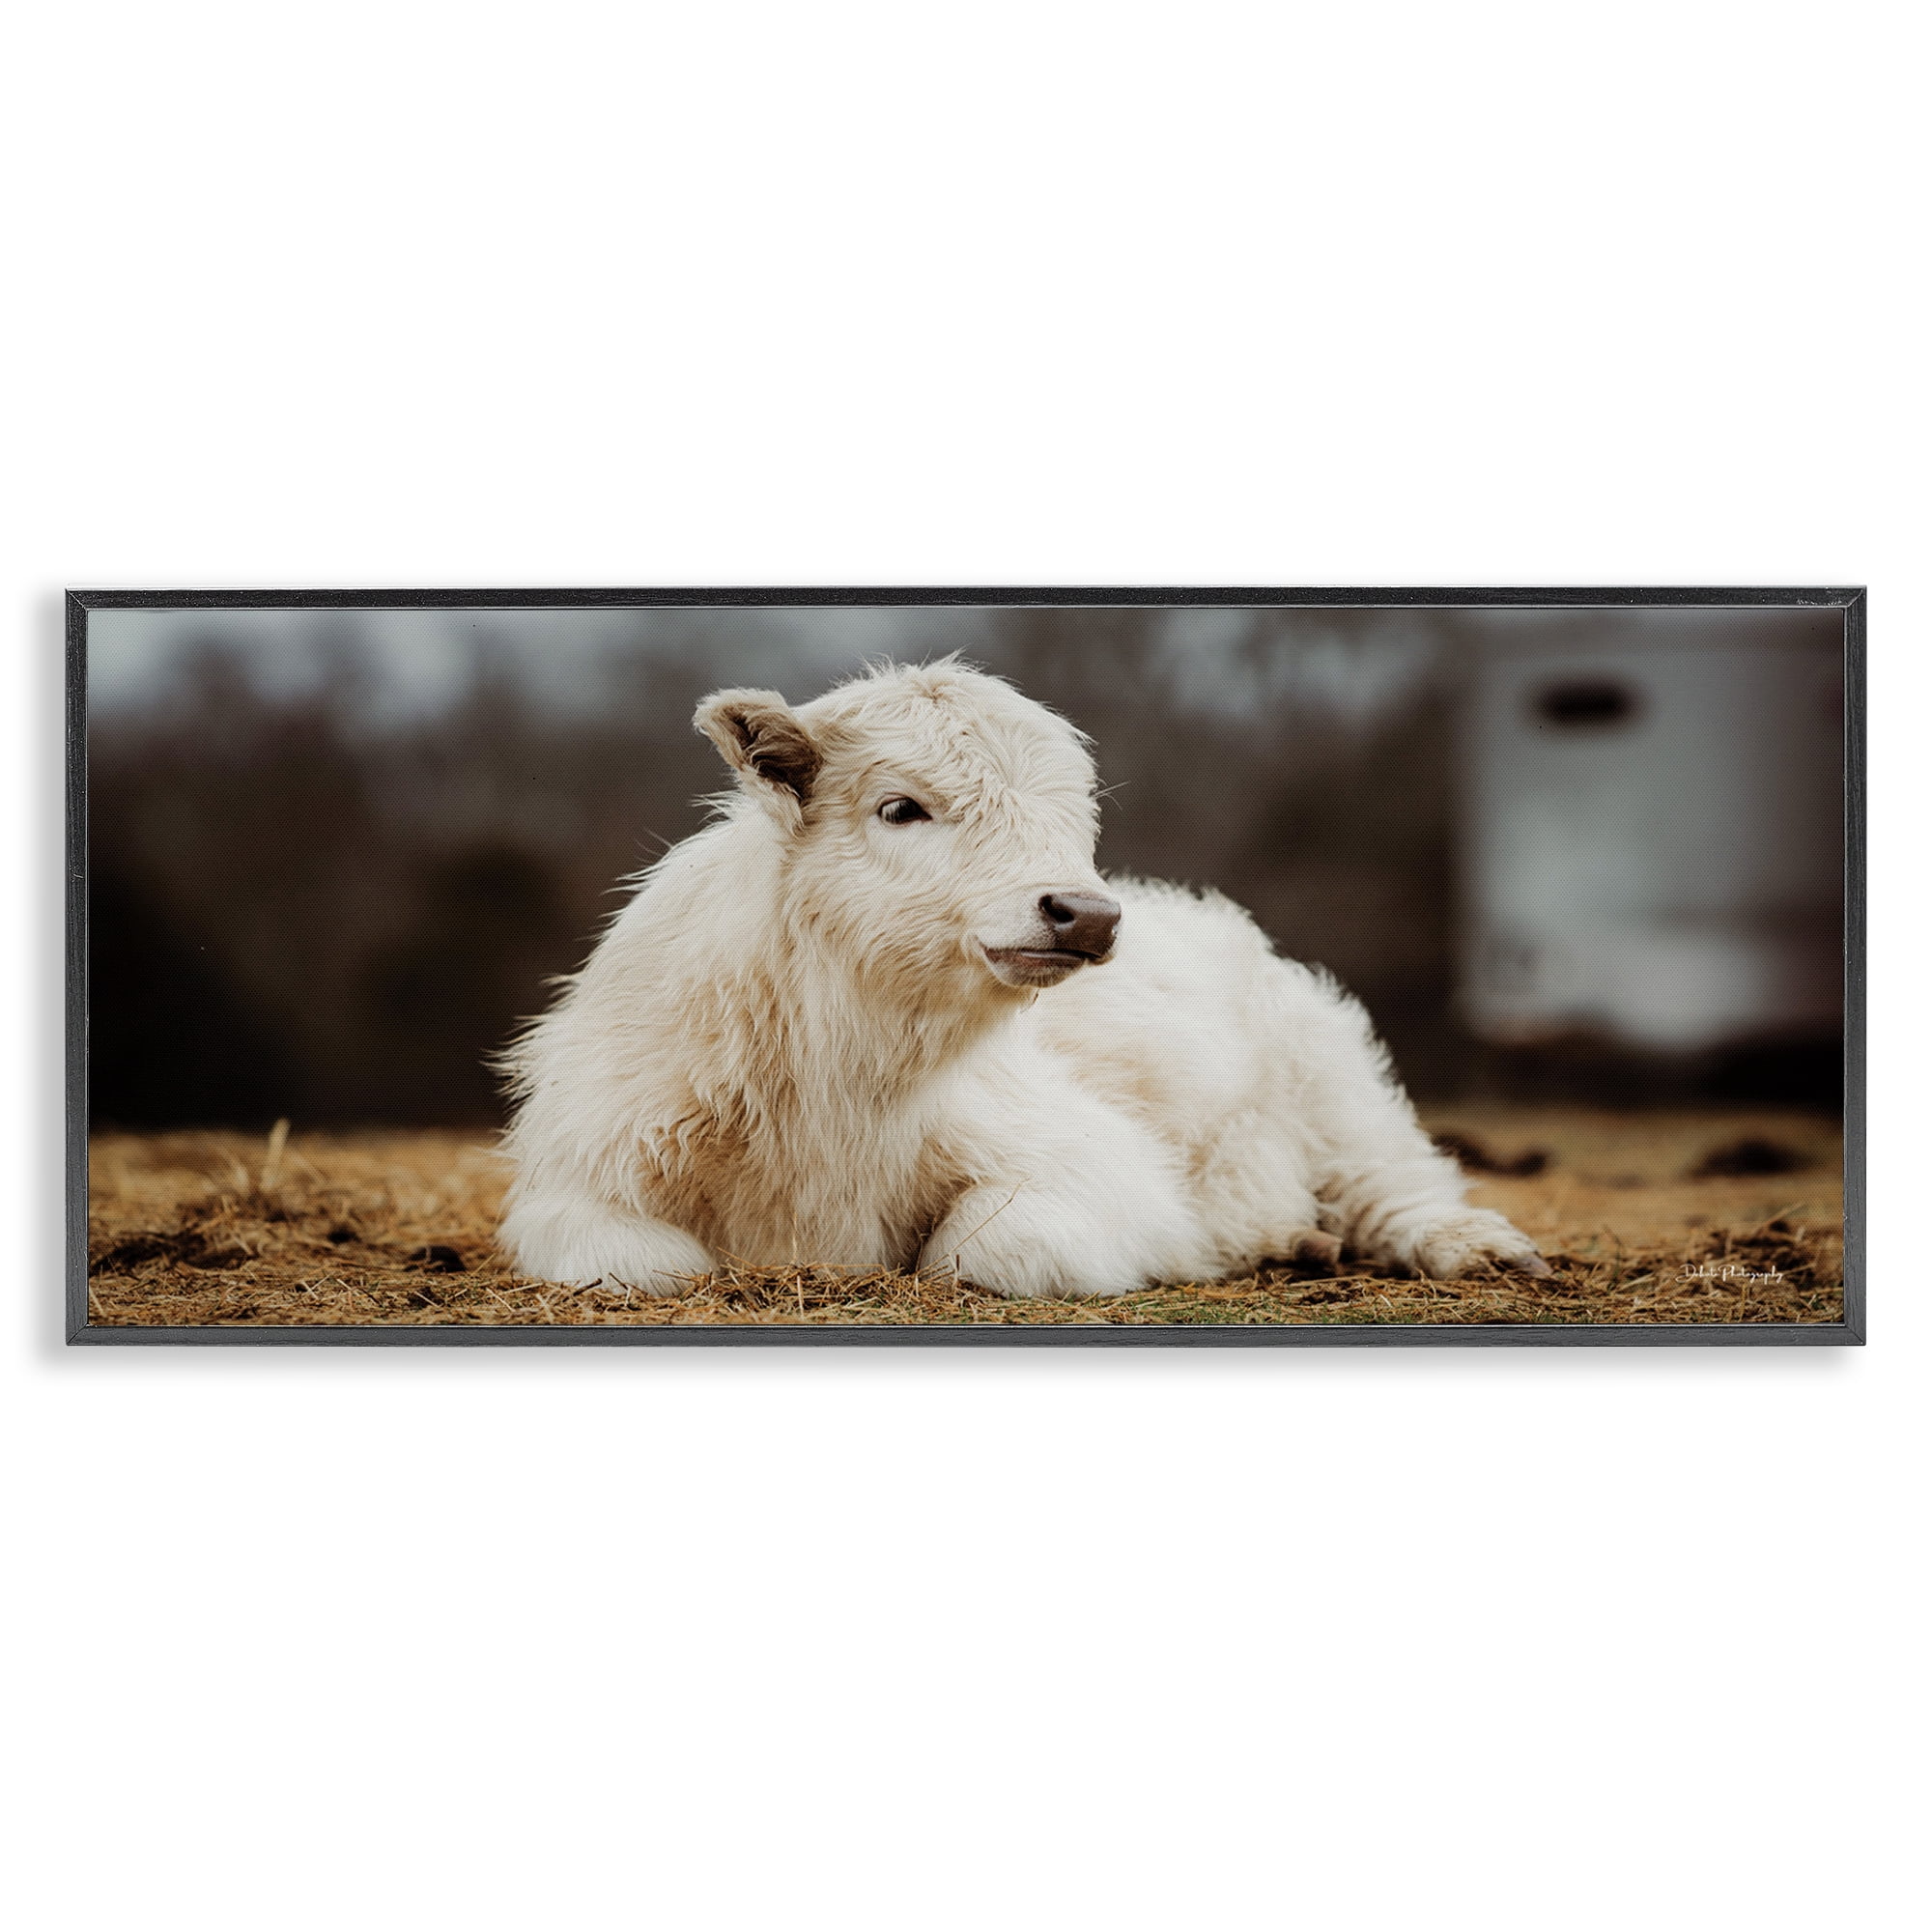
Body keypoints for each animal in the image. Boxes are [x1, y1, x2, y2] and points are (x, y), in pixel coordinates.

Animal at [497, 659, 1548, 1296]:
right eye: (900, 807)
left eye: (1071, 812)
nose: (1086, 912)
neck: (834, 1093)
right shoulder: (578, 1181)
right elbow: (645, 1263)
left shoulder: (1084, 1164)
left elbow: (986, 1247)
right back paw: (1298, 1240)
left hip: (1338, 1087)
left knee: (1398, 1181)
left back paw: (1471, 1246)